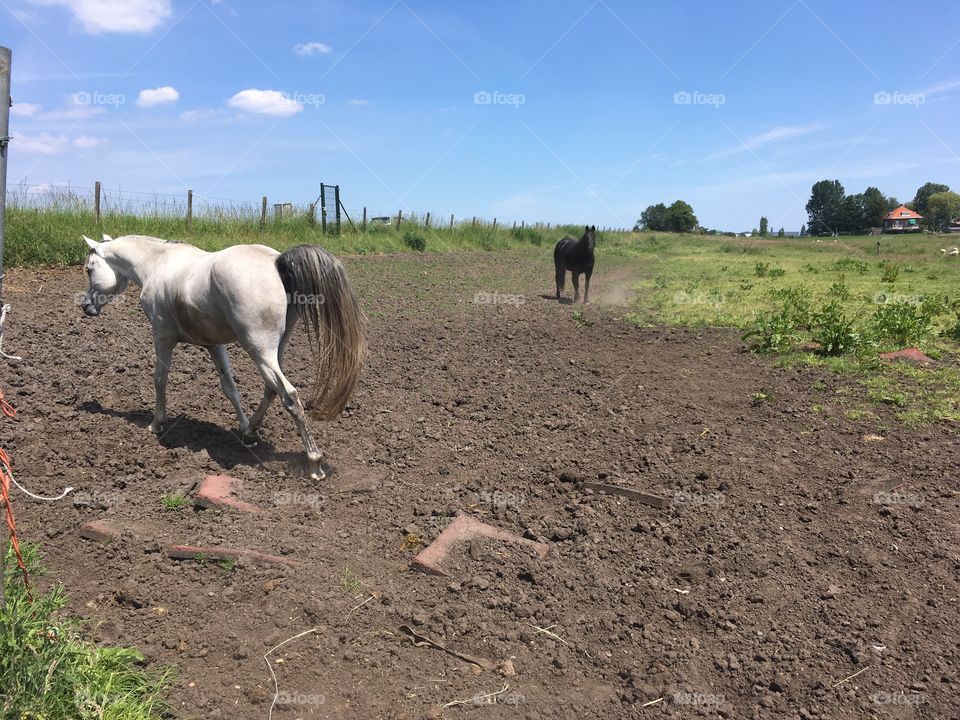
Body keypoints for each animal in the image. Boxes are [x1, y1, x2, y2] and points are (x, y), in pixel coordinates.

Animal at [78, 234, 366, 480]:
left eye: (89, 269)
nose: (86, 306)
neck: (158, 263)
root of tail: (276, 261)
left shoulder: (162, 336)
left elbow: (160, 379)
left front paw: (157, 423)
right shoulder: (214, 345)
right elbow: (230, 388)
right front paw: (244, 430)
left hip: (259, 348)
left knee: (289, 395)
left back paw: (314, 462)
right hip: (275, 350)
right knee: (271, 388)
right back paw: (251, 430)